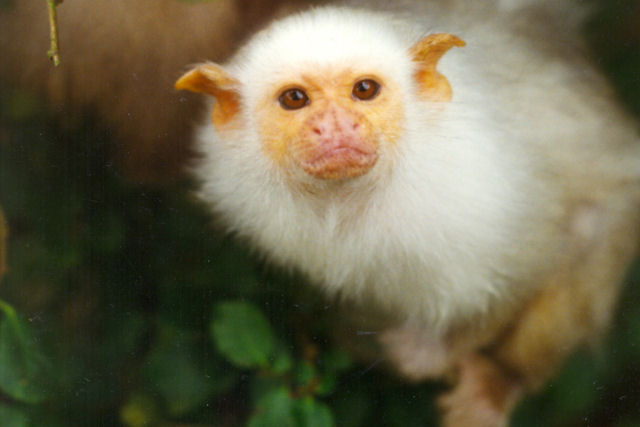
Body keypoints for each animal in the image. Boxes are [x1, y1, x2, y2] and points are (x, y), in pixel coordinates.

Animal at [173, 2, 640, 426]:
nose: (336, 127)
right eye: (294, 99)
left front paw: (438, 355)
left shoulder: (485, 194)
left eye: (364, 90)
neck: (348, 197)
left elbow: (545, 252)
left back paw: (500, 380)